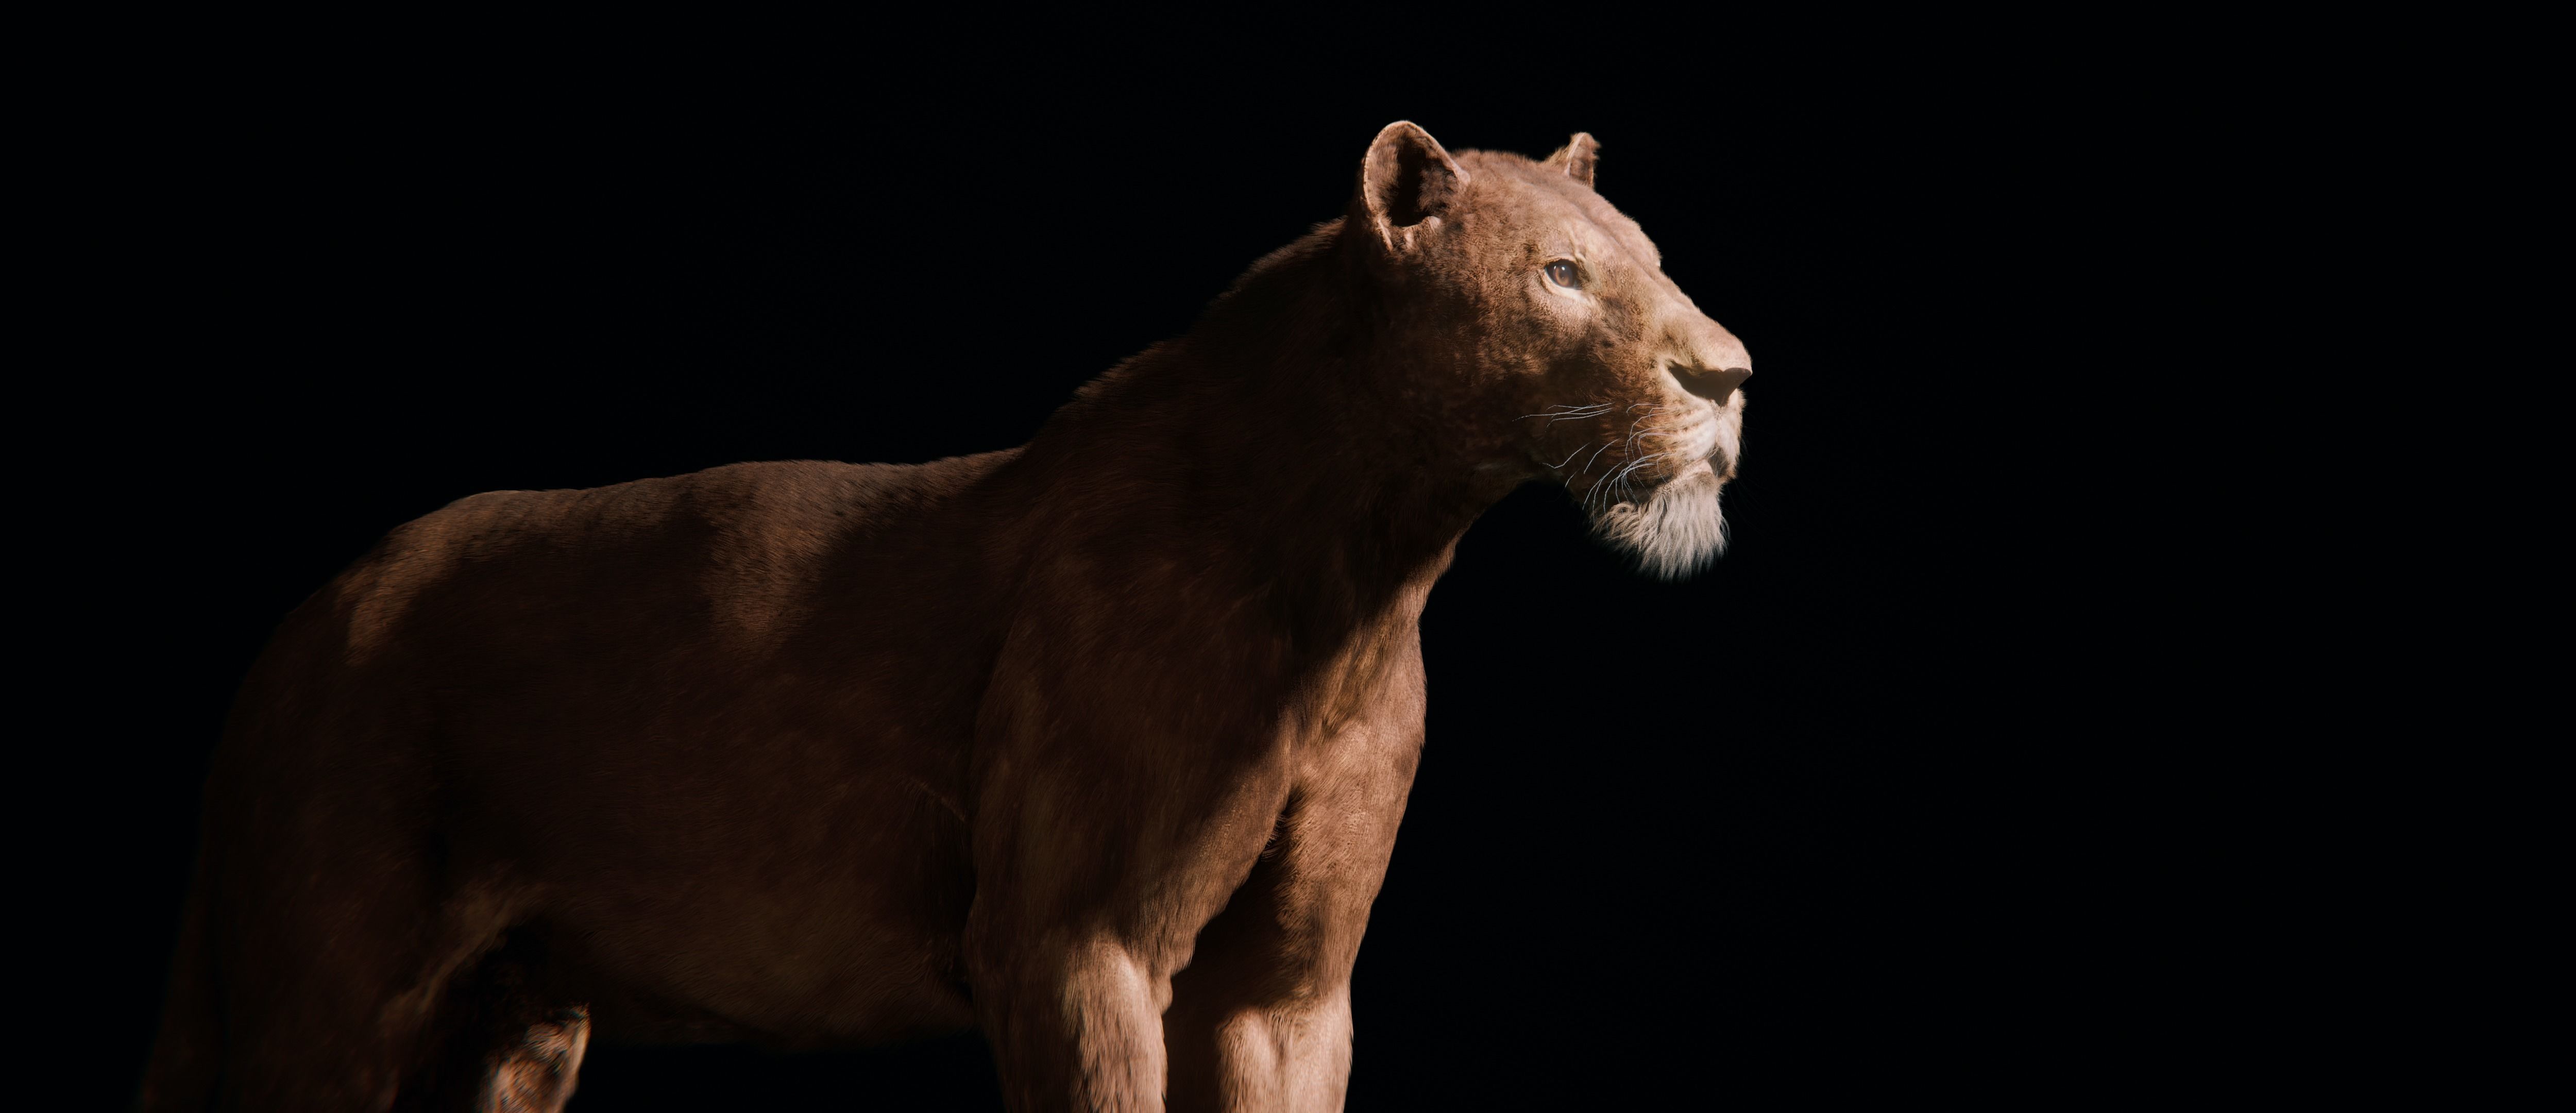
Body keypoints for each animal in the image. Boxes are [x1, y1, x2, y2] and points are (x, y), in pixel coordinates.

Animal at [140, 121, 1751, 1112]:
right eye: (1561, 276)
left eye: (1655, 255)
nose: (1732, 376)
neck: (1361, 571)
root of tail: (303, 620)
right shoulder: (1070, 940)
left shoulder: (1288, 989)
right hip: (331, 996)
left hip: (517, 1024)